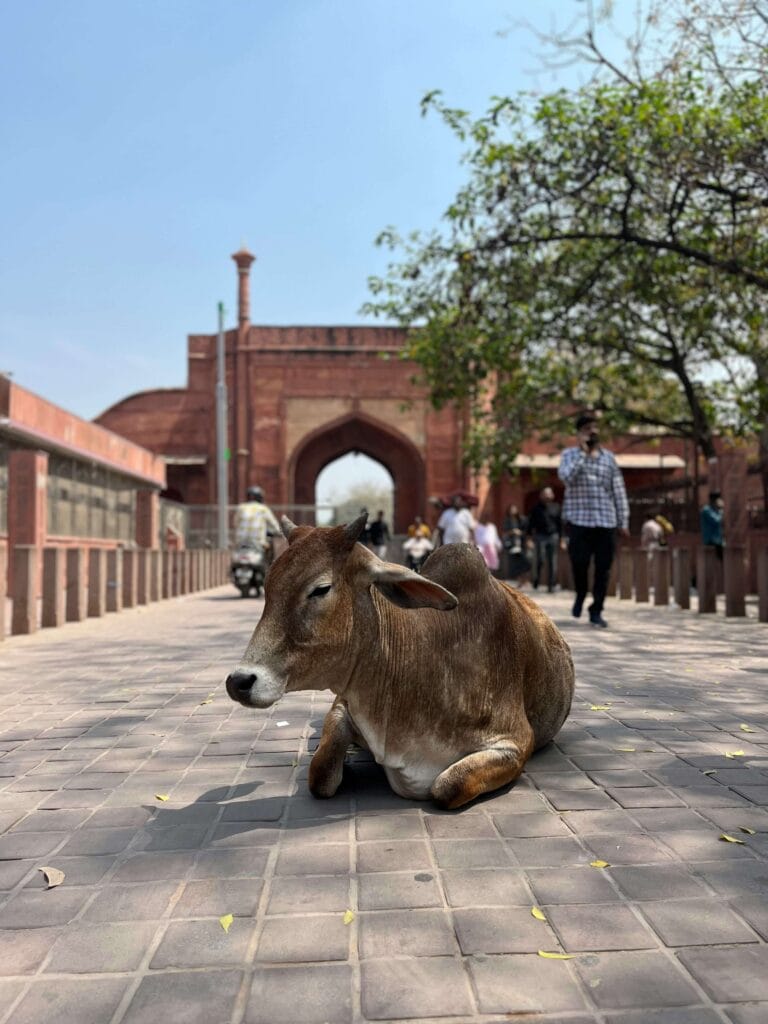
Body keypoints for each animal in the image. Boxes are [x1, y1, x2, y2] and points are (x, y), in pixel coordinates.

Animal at [225, 514, 574, 809]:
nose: (239, 681)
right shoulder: (343, 705)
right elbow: (320, 772)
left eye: (321, 589)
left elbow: (448, 786)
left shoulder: (514, 743)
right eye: (268, 586)